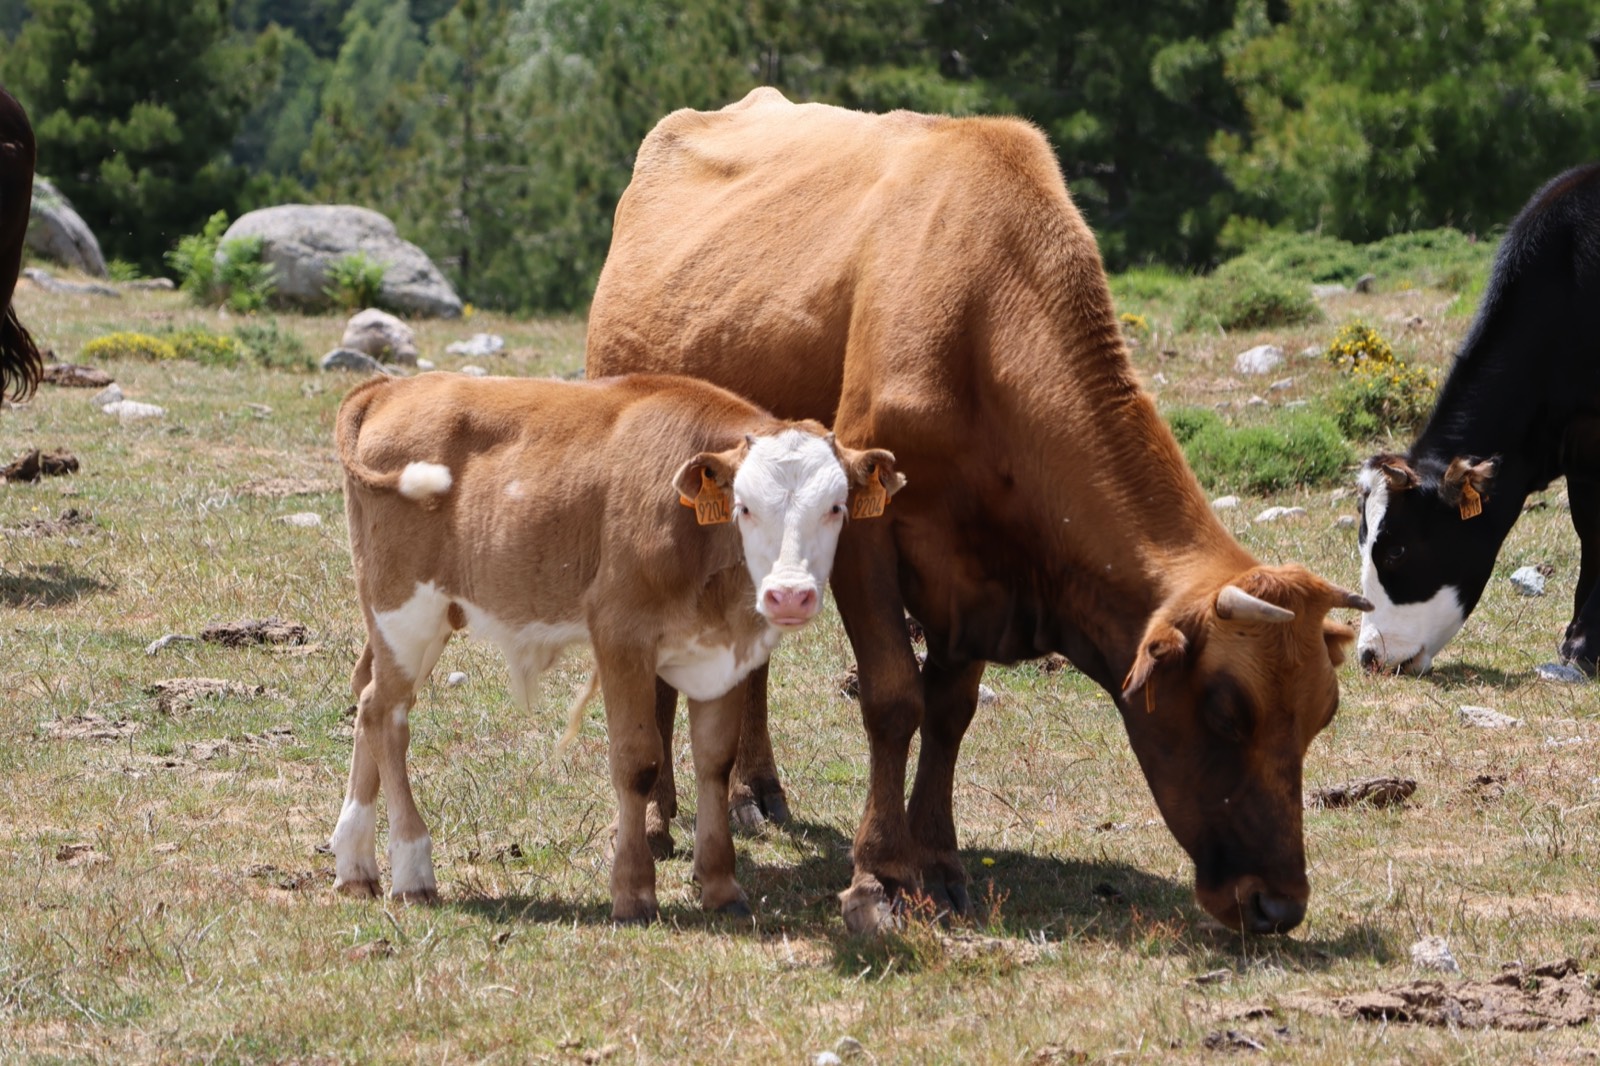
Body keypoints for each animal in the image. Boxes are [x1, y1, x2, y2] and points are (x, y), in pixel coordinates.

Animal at [330, 371, 902, 922]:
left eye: (836, 507)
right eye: (744, 507)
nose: (789, 594)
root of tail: (394, 387)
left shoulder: (723, 652)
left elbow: (715, 761)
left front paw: (720, 885)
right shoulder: (621, 634)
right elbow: (637, 761)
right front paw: (633, 893)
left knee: (368, 698)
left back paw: (355, 865)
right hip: (405, 608)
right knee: (386, 716)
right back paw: (412, 871)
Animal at [586, 88, 1372, 935]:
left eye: (1322, 713)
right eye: (1227, 710)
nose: (1279, 903)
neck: (986, 326)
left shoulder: (977, 576)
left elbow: (950, 709)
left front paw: (938, 862)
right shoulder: (868, 533)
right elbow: (894, 698)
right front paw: (880, 873)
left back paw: (753, 792)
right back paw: (660, 817)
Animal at [1355, 164, 1600, 675]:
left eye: (1397, 550)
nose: (1369, 655)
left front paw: (1586, 643)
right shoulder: (1583, 450)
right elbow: (1590, 531)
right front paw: (1580, 639)